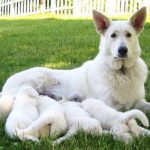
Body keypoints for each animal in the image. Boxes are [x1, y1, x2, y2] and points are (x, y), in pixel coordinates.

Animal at [0, 7, 149, 119]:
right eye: (113, 35)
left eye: (129, 35)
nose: (122, 50)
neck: (122, 72)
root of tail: (7, 82)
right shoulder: (109, 104)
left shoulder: (139, 100)